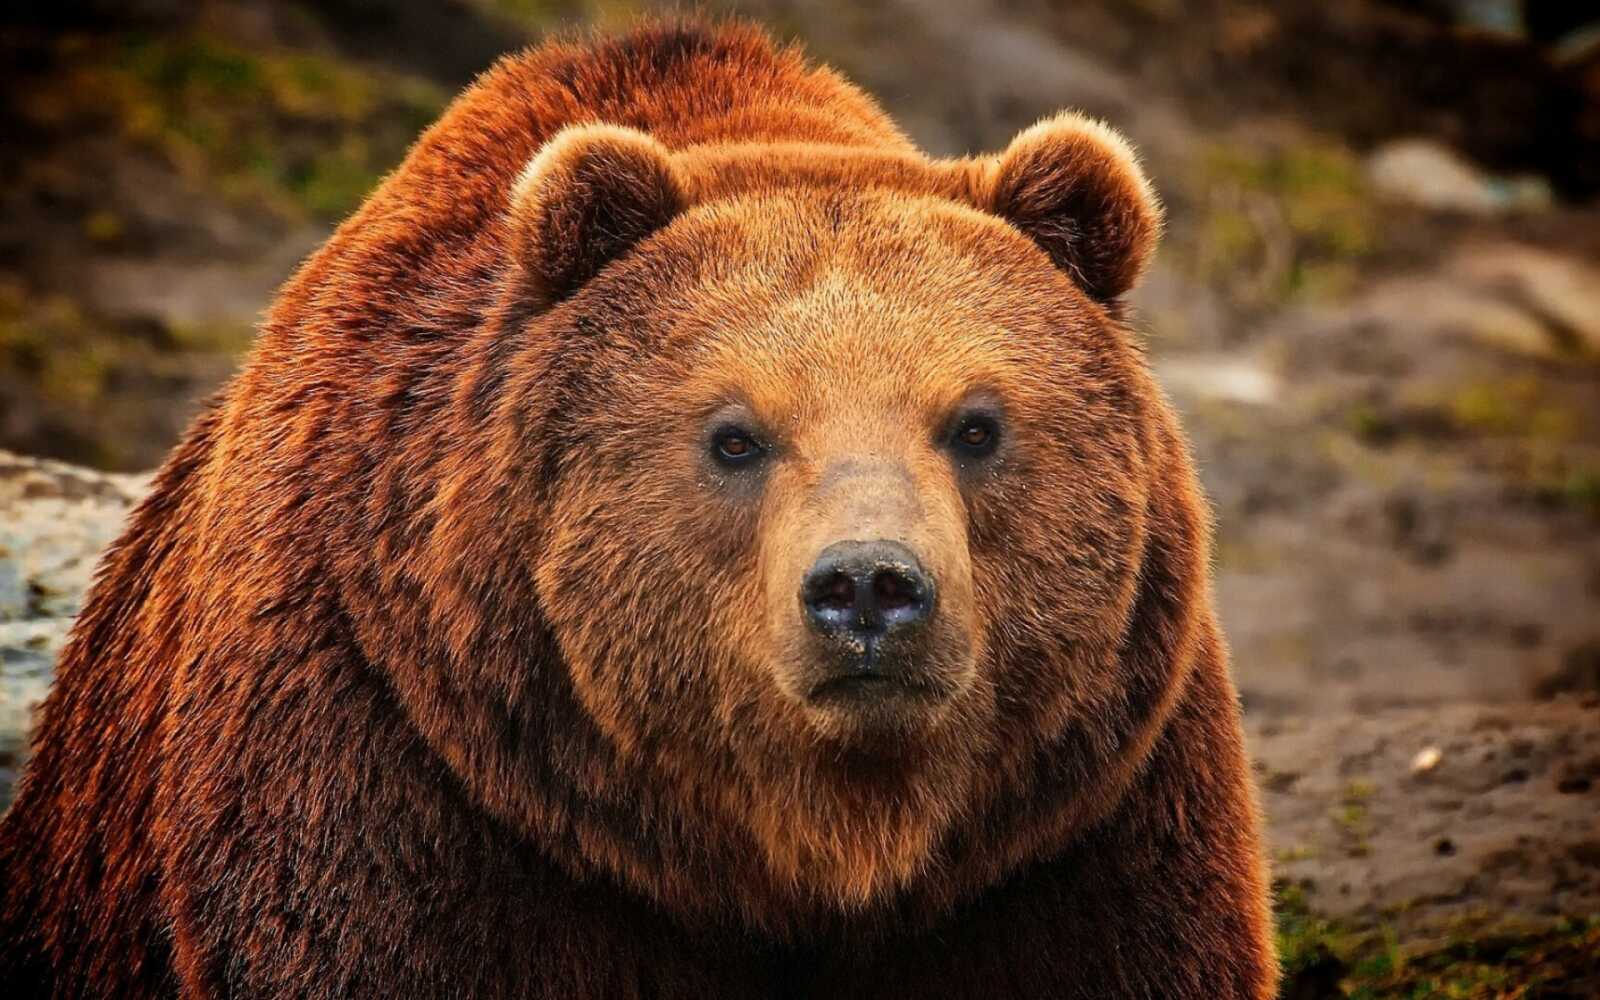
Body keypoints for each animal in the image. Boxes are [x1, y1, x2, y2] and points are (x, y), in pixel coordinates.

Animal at [0, 18, 1276, 999]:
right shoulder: (398, 766)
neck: (801, 850)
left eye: (975, 424)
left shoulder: (1070, 824)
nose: (868, 587)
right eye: (735, 436)